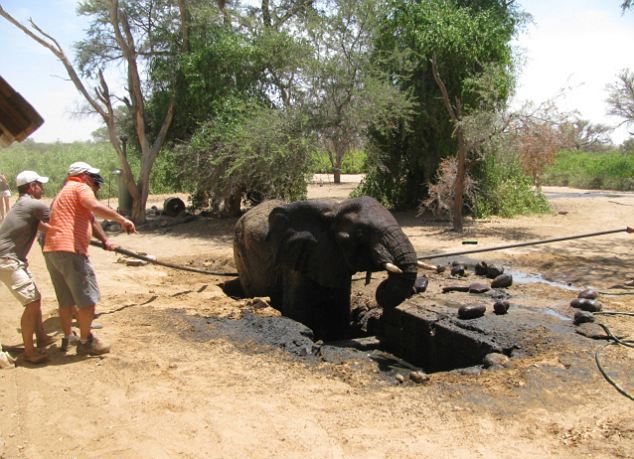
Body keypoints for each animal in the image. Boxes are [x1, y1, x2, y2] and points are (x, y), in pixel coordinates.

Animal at [231, 196, 420, 340]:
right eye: (360, 234)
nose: (419, 286)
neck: (334, 210)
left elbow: (338, 311)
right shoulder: (296, 264)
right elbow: (298, 313)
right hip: (240, 251)